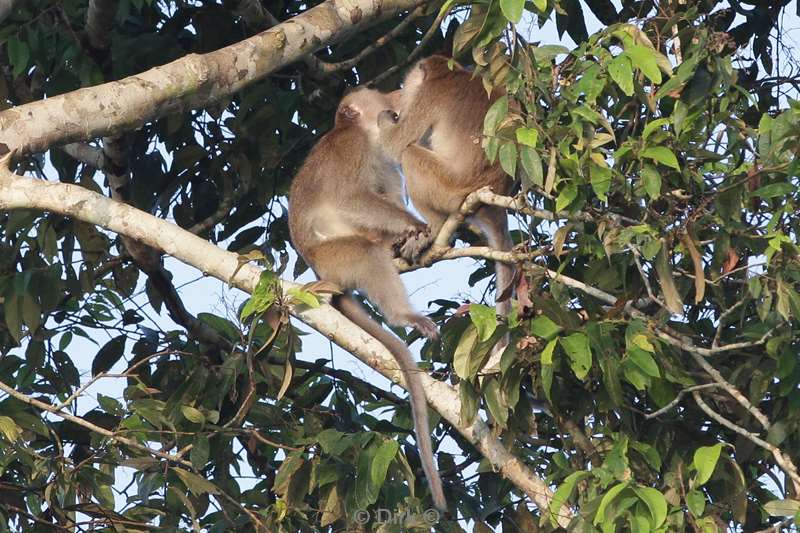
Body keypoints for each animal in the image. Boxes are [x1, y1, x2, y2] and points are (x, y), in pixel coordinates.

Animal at [288, 85, 446, 510]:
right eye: (387, 93)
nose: (397, 92)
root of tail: (318, 269)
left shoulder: (386, 161)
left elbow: (386, 194)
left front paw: (412, 234)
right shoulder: (354, 148)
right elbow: (351, 198)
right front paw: (415, 225)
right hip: (335, 257)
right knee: (366, 253)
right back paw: (401, 314)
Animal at [378, 56, 516, 350]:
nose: (402, 93)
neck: (451, 74)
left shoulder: (429, 95)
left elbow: (396, 143)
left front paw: (386, 117)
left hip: (448, 187)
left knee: (409, 153)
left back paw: (434, 228)